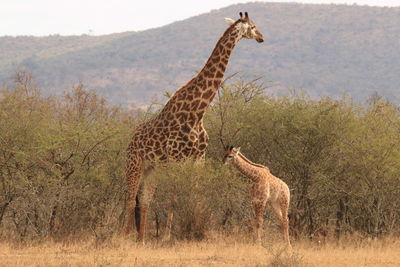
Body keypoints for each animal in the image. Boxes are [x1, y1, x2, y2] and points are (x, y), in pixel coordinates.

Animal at [123, 12, 264, 243]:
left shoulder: (198, 158)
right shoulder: (176, 158)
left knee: (144, 199)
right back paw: (125, 236)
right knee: (129, 197)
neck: (197, 112)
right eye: (252, 26)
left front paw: (195, 226)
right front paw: (167, 236)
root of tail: (131, 140)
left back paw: (141, 239)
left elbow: (196, 191)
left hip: (153, 168)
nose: (262, 37)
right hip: (135, 164)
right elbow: (174, 193)